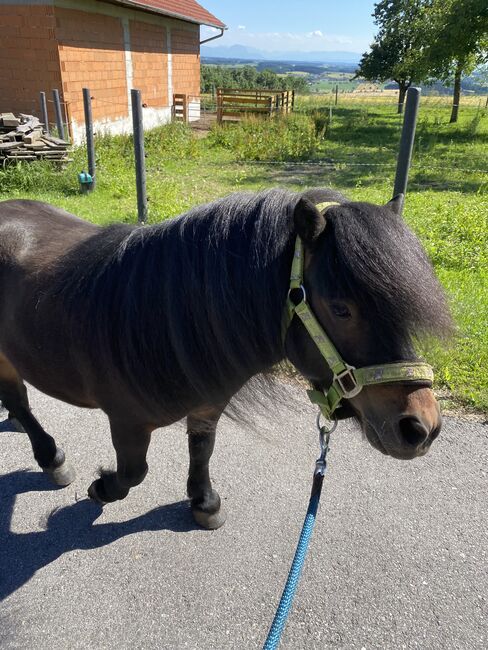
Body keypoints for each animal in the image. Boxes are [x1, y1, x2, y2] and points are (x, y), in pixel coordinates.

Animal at [0, 187, 450, 528]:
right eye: (341, 309)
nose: (421, 428)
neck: (161, 318)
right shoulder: (126, 422)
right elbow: (132, 473)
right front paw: (100, 488)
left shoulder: (207, 406)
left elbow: (203, 451)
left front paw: (204, 503)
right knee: (19, 401)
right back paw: (51, 458)